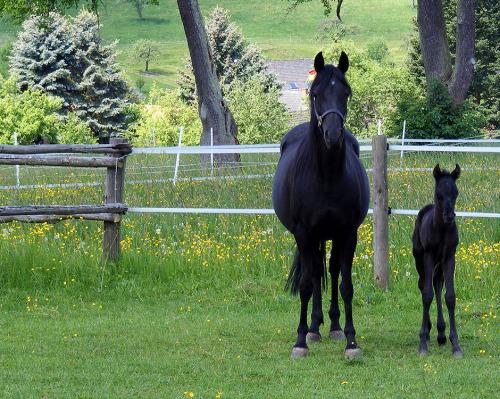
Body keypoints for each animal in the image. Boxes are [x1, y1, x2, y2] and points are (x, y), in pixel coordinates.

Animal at [272, 51, 370, 360]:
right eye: (316, 95)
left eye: (346, 93)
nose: (333, 135)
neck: (326, 176)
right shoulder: (304, 234)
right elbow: (306, 284)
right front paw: (300, 340)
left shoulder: (348, 234)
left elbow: (346, 284)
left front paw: (351, 341)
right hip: (313, 237)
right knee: (314, 272)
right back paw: (314, 328)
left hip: (331, 236)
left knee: (331, 270)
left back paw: (333, 326)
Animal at [412, 164, 462, 358]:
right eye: (439, 194)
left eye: (455, 193)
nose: (449, 216)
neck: (441, 229)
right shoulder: (429, 256)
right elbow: (427, 295)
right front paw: (422, 344)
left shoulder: (449, 257)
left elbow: (450, 296)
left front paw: (455, 345)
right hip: (420, 260)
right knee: (423, 285)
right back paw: (427, 331)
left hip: (439, 265)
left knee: (438, 285)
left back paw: (440, 334)